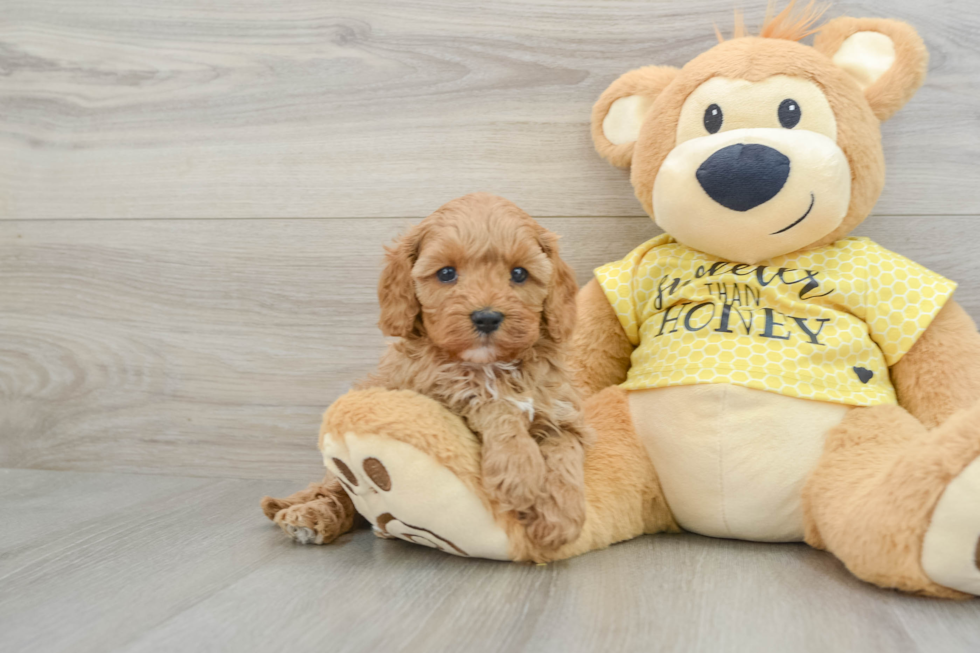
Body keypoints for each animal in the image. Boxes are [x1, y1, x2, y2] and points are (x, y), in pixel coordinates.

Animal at [260, 194, 592, 552]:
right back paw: (310, 517)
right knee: (337, 491)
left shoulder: (562, 411)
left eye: (519, 273)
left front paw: (559, 520)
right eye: (446, 273)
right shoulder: (433, 390)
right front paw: (519, 473)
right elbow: (491, 403)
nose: (486, 317)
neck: (491, 365)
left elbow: (564, 450)